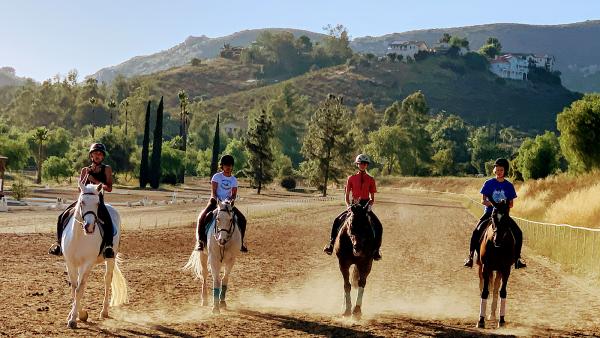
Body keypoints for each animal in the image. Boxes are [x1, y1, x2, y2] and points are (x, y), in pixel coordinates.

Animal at [62, 182, 127, 328]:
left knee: (107, 280)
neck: (79, 237)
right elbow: (74, 288)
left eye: (97, 203)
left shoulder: (87, 264)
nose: (89, 226)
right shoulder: (70, 263)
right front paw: (75, 315)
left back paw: (104, 312)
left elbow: (80, 289)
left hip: (111, 258)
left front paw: (75, 318)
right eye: (82, 202)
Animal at [476, 199, 512, 328]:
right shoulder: (486, 267)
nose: (497, 239)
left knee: (495, 289)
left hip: (499, 270)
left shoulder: (506, 269)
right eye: (493, 216)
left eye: (507, 216)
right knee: (483, 286)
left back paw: (492, 314)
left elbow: (502, 292)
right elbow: (485, 292)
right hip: (481, 267)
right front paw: (481, 320)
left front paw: (501, 320)